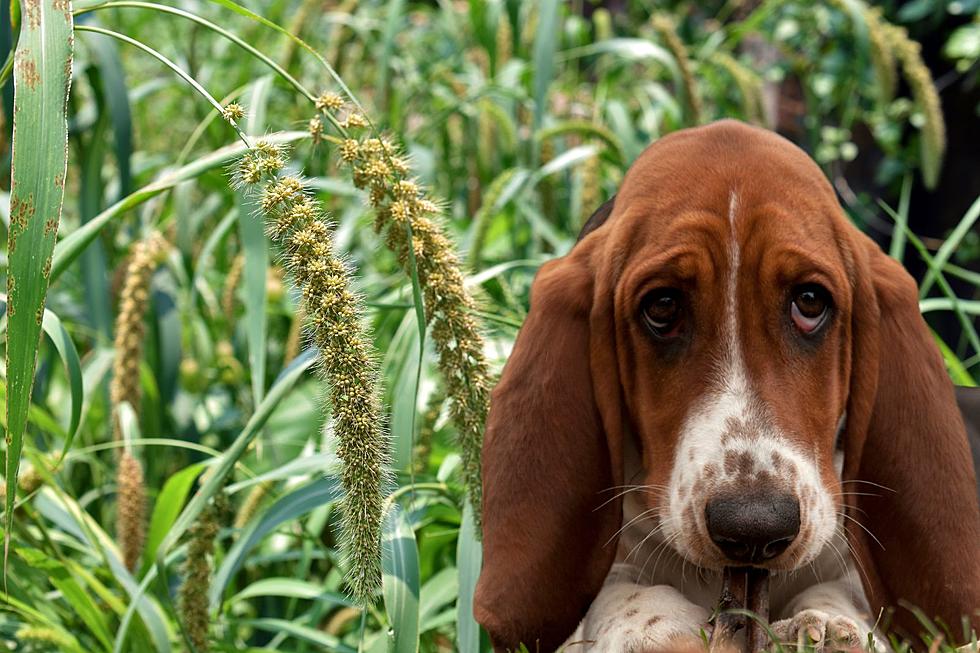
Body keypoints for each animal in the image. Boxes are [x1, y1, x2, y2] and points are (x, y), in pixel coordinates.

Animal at [474, 119, 980, 648]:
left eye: (810, 302)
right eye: (662, 307)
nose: (754, 528)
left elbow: (847, 589)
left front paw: (827, 628)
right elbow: (618, 589)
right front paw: (654, 627)